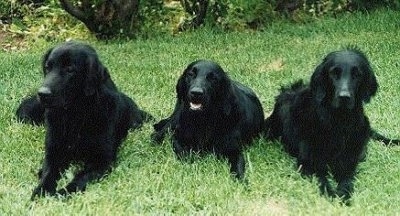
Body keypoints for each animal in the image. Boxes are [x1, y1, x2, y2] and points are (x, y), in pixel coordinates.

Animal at [25, 41, 151, 199]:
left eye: (70, 69)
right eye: (48, 67)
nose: (42, 94)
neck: (75, 115)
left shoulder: (101, 161)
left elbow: (80, 177)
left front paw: (63, 193)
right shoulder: (53, 152)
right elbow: (48, 173)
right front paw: (41, 190)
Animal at [264, 47, 386, 202]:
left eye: (357, 74)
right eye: (333, 73)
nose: (344, 97)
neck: (338, 120)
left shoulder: (347, 162)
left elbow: (347, 179)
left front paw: (344, 195)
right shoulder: (308, 163)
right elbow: (322, 179)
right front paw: (331, 194)